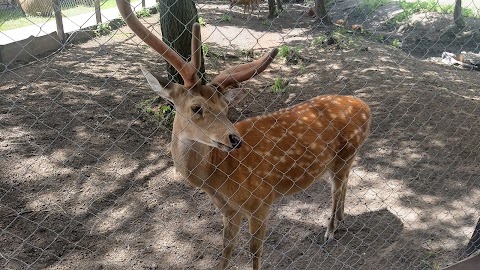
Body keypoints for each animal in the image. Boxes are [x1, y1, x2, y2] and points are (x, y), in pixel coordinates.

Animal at [117, 0, 372, 268]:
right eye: (196, 107)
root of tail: (366, 107)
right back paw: (340, 221)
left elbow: (254, 251)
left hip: (345, 154)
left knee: (337, 188)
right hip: (343, 159)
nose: (235, 139)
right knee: (344, 182)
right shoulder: (229, 210)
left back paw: (330, 230)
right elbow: (226, 250)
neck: (218, 180)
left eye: (226, 108)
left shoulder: (262, 201)